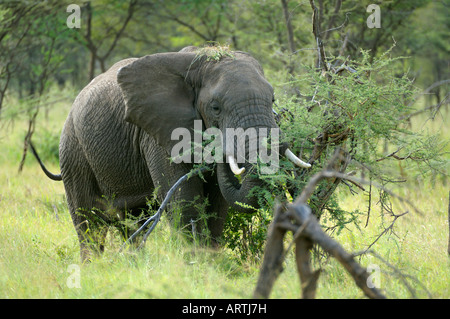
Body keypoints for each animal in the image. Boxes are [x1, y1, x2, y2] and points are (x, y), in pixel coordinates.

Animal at [34, 47, 310, 262]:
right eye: (216, 108)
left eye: (272, 99)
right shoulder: (157, 133)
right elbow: (183, 199)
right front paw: (196, 265)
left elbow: (217, 202)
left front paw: (212, 263)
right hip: (72, 149)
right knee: (88, 220)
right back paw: (93, 267)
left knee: (132, 219)